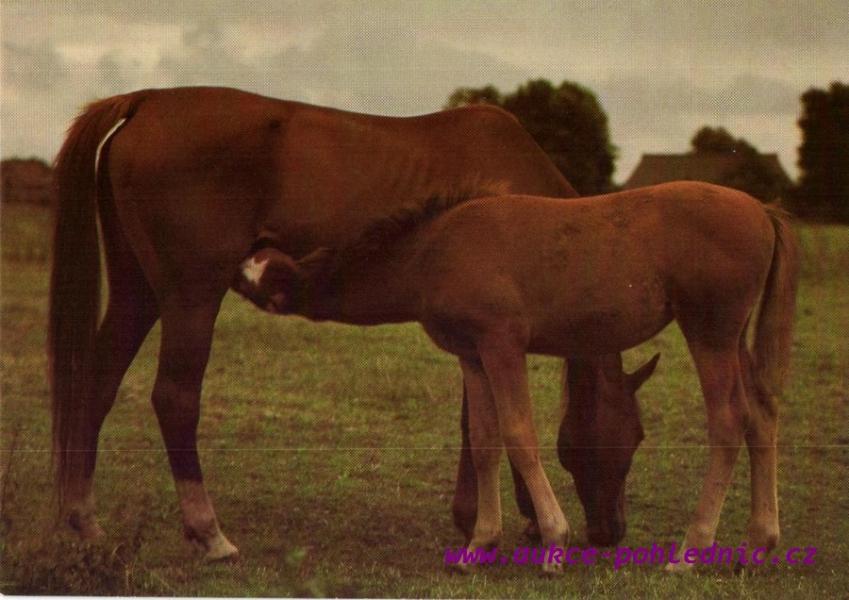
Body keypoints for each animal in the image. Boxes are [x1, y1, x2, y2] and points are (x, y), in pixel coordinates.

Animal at [49, 86, 586, 560]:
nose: (603, 532)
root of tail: (147, 100)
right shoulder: (488, 333)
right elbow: (492, 421)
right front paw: (511, 519)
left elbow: (479, 421)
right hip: (191, 299)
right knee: (175, 399)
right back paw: (210, 534)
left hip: (136, 292)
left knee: (97, 384)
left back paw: (84, 519)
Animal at [232, 181, 798, 573]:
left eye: (268, 279)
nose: (235, 272)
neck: (432, 250)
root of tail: (760, 210)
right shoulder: (472, 353)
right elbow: (485, 441)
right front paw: (479, 546)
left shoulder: (503, 344)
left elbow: (519, 436)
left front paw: (553, 546)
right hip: (734, 338)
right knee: (763, 416)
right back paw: (758, 545)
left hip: (710, 331)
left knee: (729, 423)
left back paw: (690, 551)